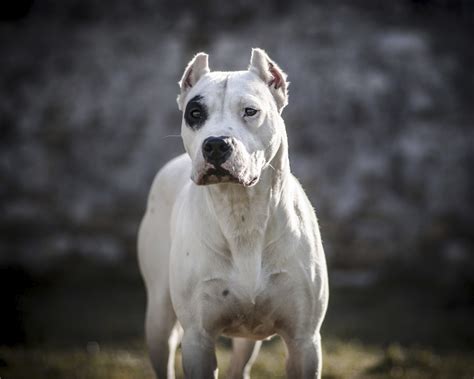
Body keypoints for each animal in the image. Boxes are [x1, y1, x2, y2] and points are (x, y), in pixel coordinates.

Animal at [139, 49, 328, 378]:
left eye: (250, 111)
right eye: (195, 113)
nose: (215, 144)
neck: (242, 212)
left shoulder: (304, 342)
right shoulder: (198, 340)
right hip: (159, 320)